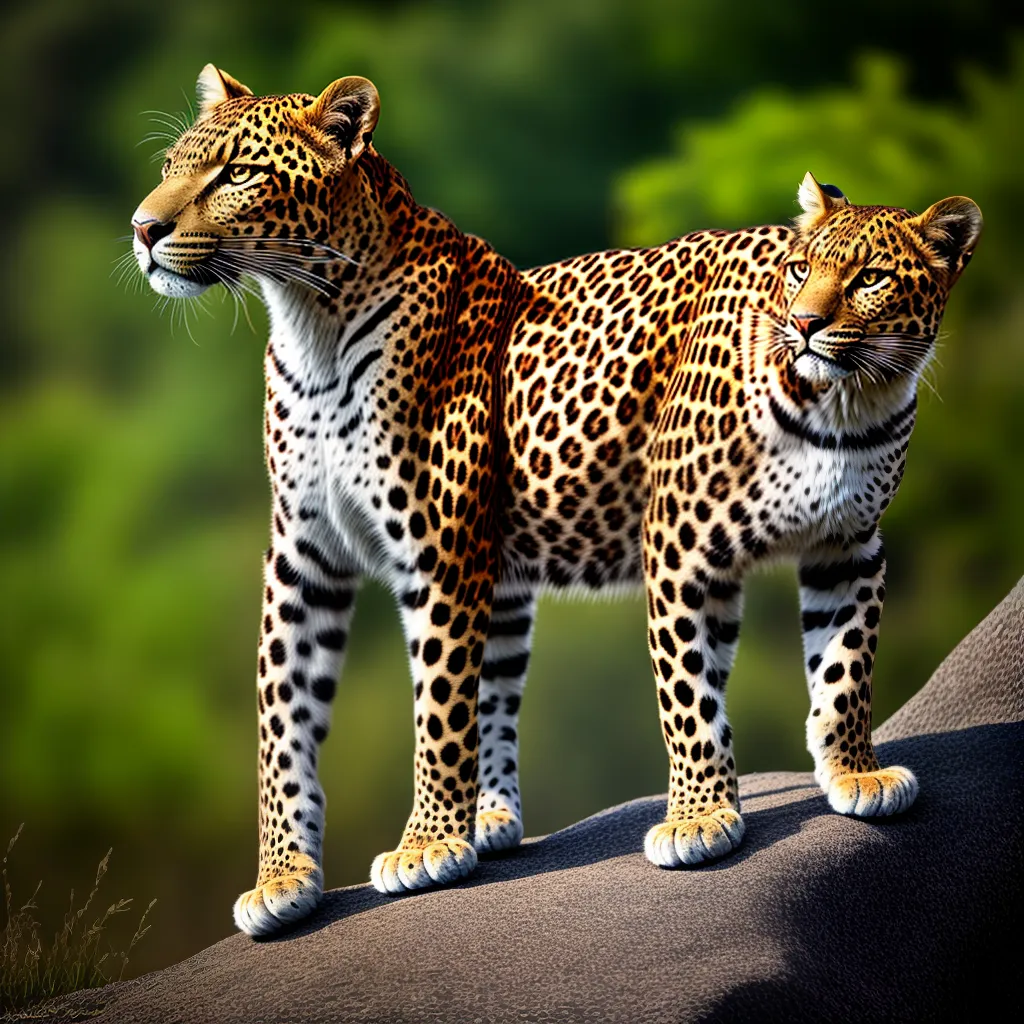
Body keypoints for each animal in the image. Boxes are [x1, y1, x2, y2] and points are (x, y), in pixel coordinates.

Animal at [130, 66, 981, 937]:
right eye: (171, 166)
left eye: (237, 174)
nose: (142, 227)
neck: (313, 323)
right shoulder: (306, 557)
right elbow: (285, 719)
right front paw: (284, 877)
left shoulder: (842, 545)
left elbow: (836, 669)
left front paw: (841, 776)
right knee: (500, 689)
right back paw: (489, 818)